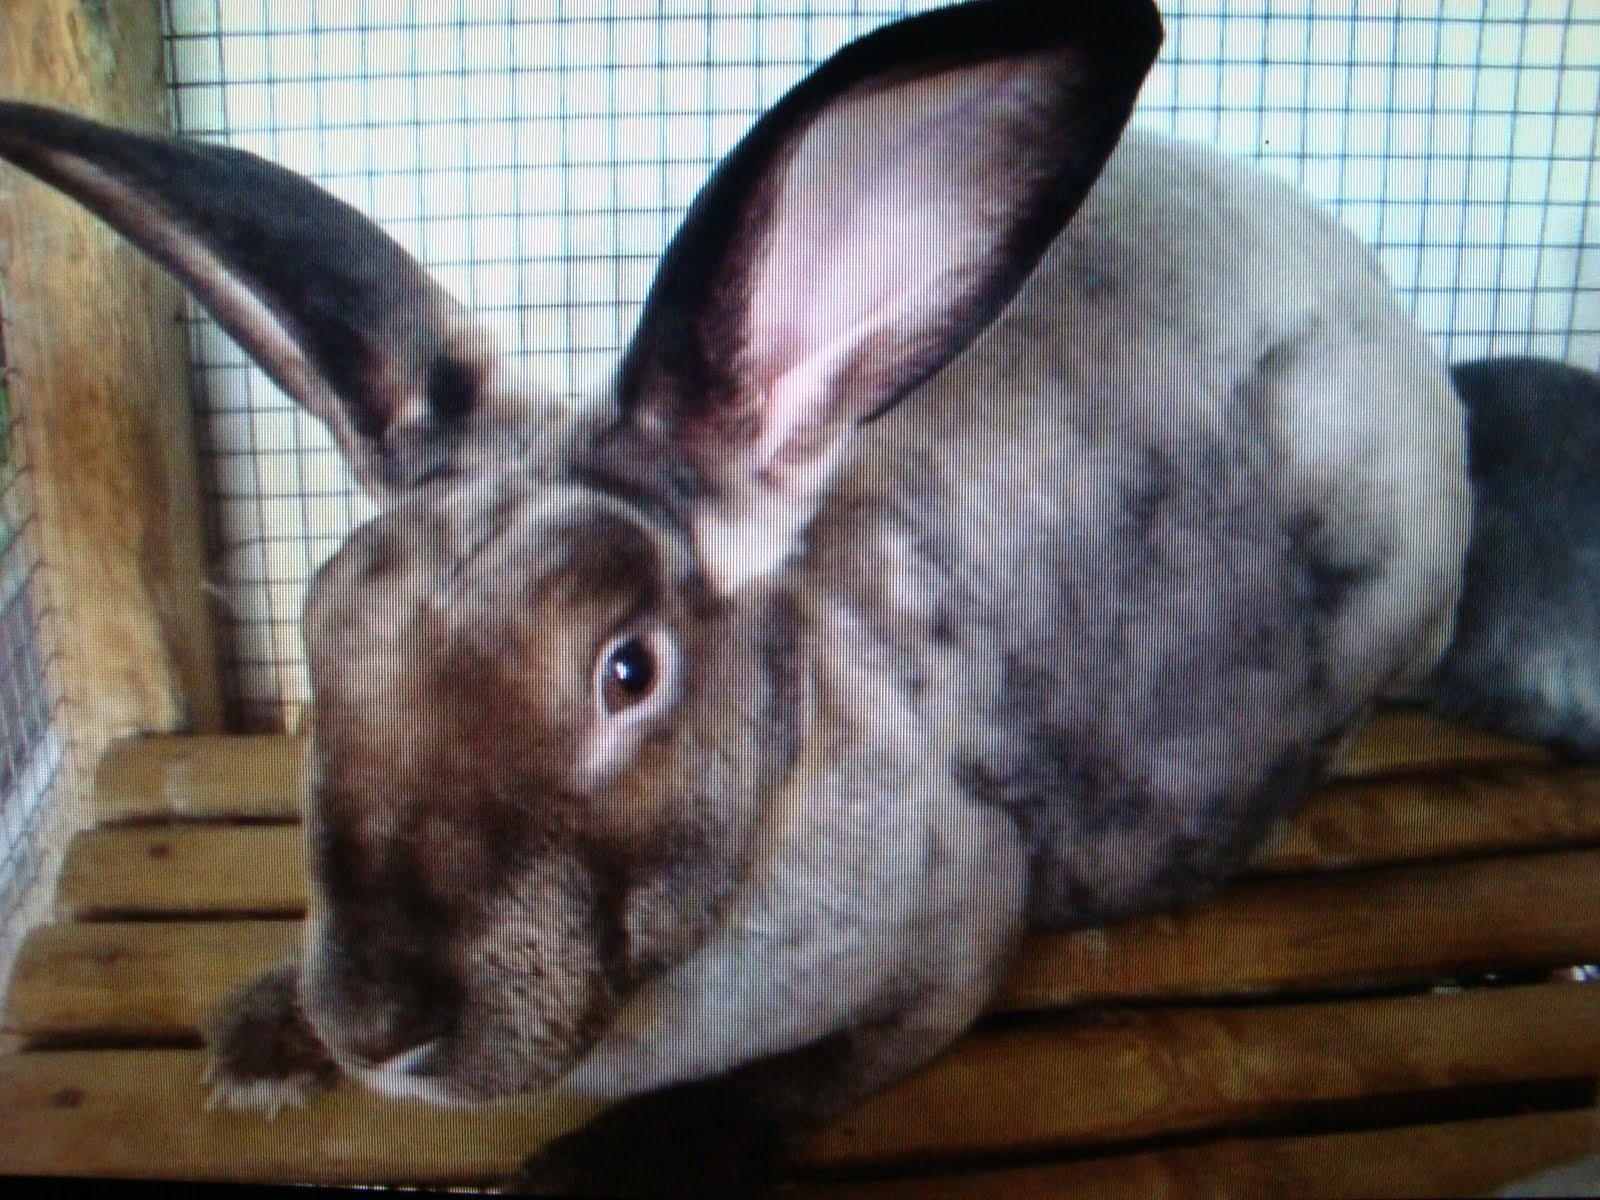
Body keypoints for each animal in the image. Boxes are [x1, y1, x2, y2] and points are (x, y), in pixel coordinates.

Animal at [12, 0, 1577, 1191]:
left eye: (627, 670)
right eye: (325, 630)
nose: (370, 1025)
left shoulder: (954, 928)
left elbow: (798, 1076)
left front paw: (589, 1166)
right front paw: (259, 1038)